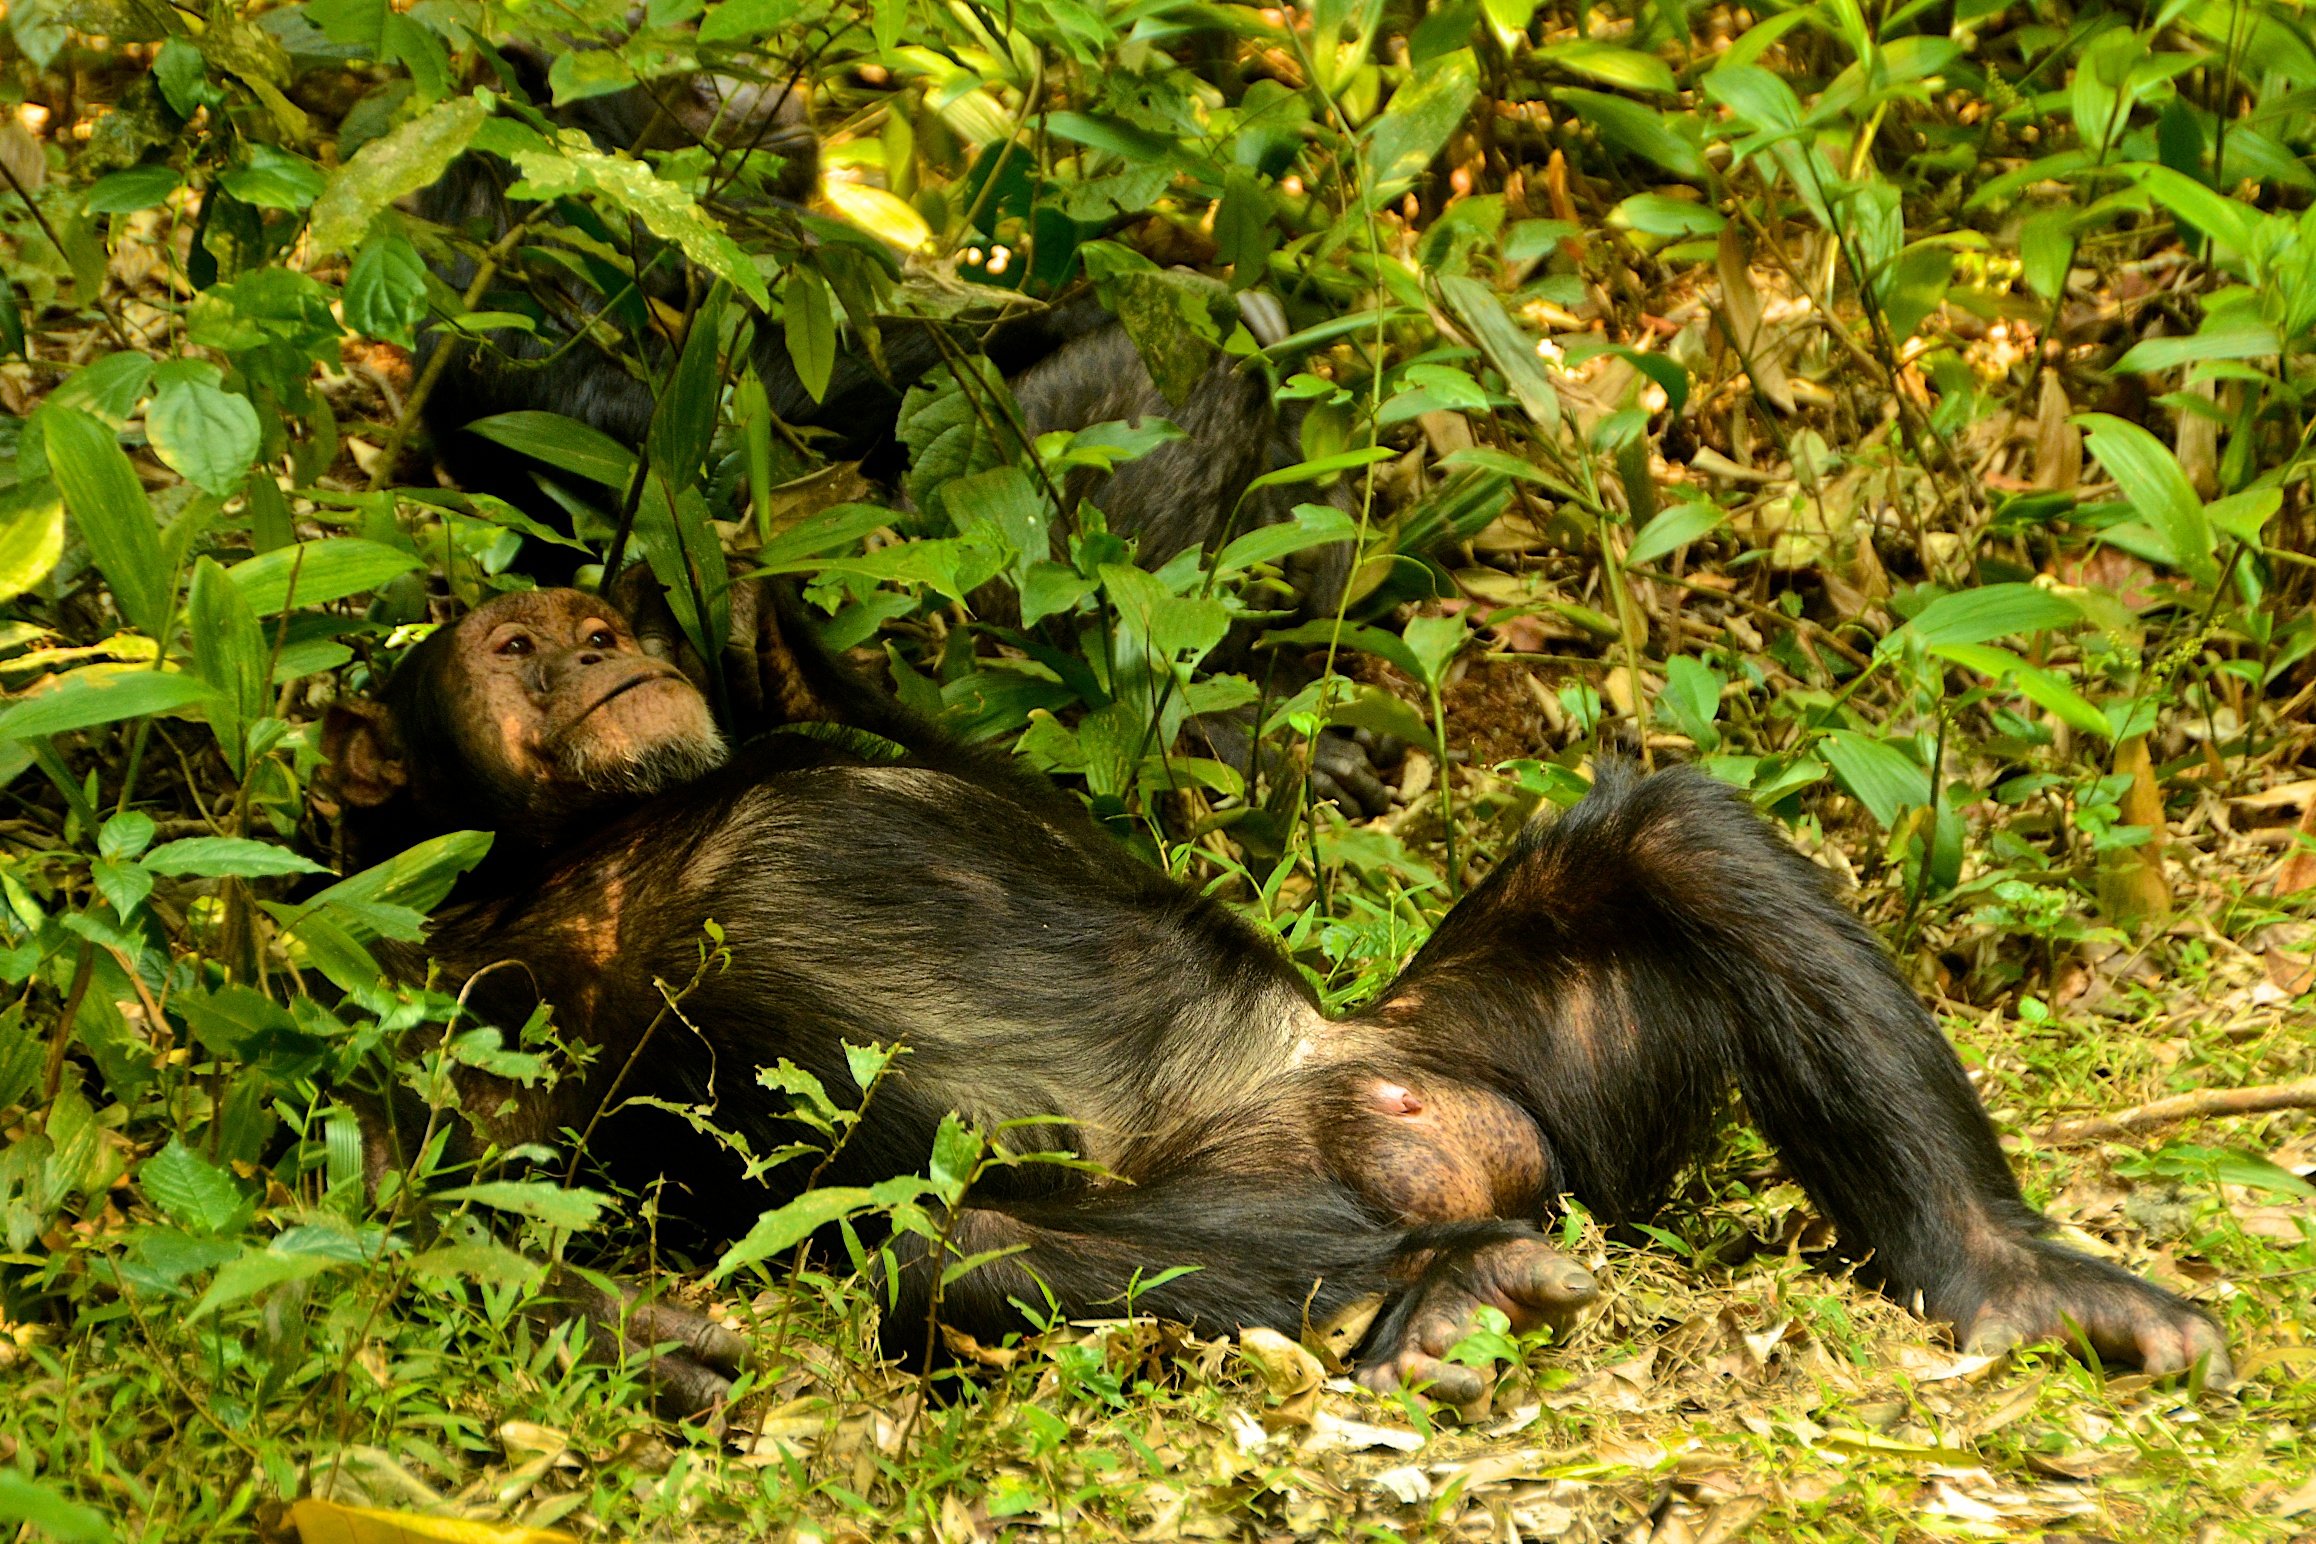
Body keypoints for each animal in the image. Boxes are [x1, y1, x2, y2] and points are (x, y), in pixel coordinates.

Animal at [322, 586, 2231, 1412]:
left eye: (591, 613)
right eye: (514, 643)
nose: (589, 646)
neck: (600, 828)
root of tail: (1433, 1139)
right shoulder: (430, 973)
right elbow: (413, 1207)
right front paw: (645, 1335)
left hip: (1502, 1059)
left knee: (1666, 832)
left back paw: (2010, 1275)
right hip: (1376, 1159)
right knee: (972, 1250)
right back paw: (1445, 1297)